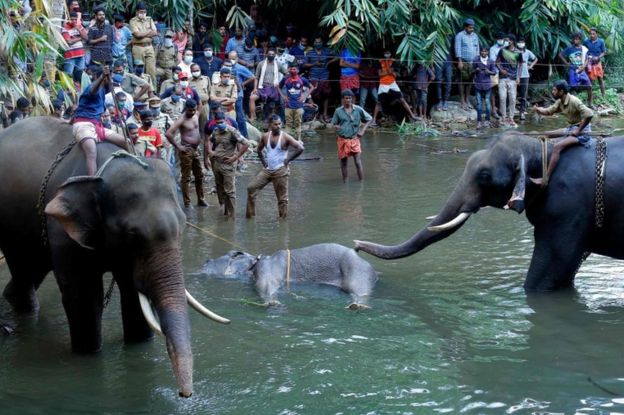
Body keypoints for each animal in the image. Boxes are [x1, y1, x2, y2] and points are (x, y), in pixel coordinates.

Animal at [0, 116, 229, 396]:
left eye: (183, 226)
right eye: (131, 234)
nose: (185, 394)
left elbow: (131, 293)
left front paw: (138, 345)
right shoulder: (62, 230)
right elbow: (85, 296)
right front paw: (88, 354)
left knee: (32, 268)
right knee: (23, 266)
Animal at [200, 244, 378, 308]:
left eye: (209, 261)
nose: (205, 261)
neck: (254, 263)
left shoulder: (266, 270)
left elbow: (266, 286)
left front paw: (272, 302)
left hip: (357, 272)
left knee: (360, 292)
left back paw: (356, 305)